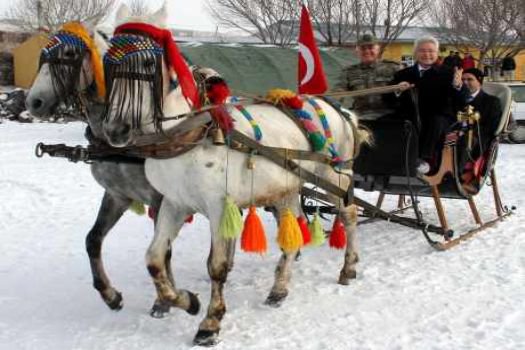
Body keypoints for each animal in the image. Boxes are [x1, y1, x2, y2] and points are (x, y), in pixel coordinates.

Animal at [100, 6, 368, 346]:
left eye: (148, 63)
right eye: (108, 61)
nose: (115, 130)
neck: (191, 134)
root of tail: (338, 109)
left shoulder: (219, 208)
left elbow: (216, 266)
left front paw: (210, 323)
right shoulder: (174, 203)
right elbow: (155, 259)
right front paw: (186, 301)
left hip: (335, 178)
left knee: (349, 215)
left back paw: (348, 268)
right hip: (285, 188)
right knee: (294, 228)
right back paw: (279, 289)